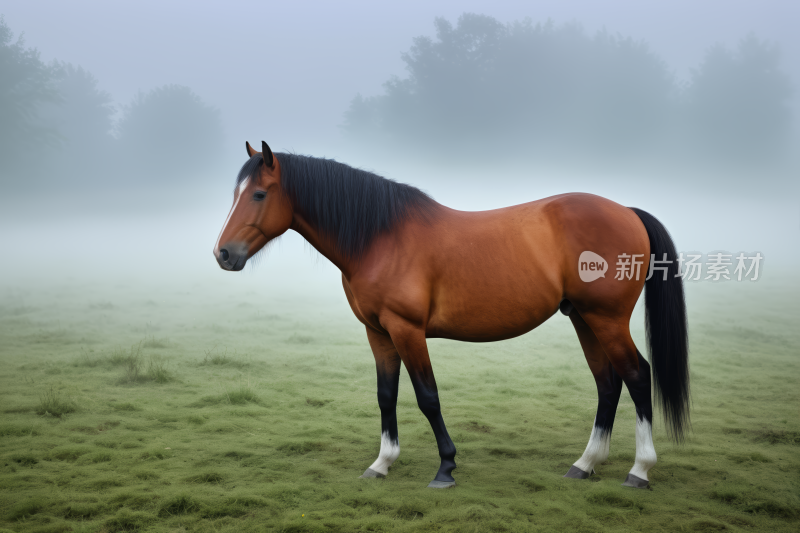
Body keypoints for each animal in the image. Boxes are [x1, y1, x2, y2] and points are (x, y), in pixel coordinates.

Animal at [216, 142, 692, 490]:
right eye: (235, 194)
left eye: (259, 194)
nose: (223, 254)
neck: (380, 237)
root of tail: (627, 211)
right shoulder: (378, 333)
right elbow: (385, 395)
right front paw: (382, 463)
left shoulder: (407, 330)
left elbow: (428, 396)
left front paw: (446, 467)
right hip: (583, 319)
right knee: (607, 383)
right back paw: (586, 463)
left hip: (606, 319)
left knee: (637, 375)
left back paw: (639, 470)